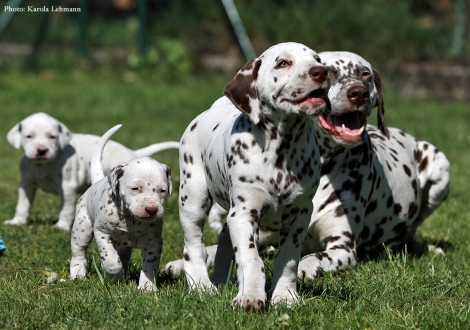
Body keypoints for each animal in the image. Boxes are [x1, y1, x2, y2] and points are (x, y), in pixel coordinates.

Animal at [4, 112, 179, 231]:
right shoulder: (26, 184)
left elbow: (66, 208)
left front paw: (61, 226)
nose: (41, 150)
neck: (43, 165)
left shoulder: (67, 187)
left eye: (52, 137)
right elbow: (23, 204)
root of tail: (133, 153)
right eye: (29, 136)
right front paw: (17, 221)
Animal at [70, 124, 173, 292]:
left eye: (163, 190)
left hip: (124, 246)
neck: (131, 219)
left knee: (123, 256)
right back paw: (78, 275)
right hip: (82, 227)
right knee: (78, 252)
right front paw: (114, 277)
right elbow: (111, 261)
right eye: (135, 188)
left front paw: (147, 287)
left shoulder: (154, 242)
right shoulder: (102, 233)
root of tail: (97, 182)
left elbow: (150, 266)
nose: (151, 209)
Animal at [167, 50, 450, 284]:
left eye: (365, 74)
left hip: (439, 169)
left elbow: (310, 258)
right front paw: (182, 263)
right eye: (330, 71)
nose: (357, 92)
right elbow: (215, 249)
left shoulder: (343, 248)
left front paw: (299, 270)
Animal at [178, 42, 328, 310]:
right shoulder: (245, 212)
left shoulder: (300, 214)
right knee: (193, 246)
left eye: (317, 59)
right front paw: (250, 297)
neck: (282, 150)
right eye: (283, 63)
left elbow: (288, 259)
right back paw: (202, 287)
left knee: (224, 240)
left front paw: (285, 296)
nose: (321, 72)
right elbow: (251, 258)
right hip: (193, 200)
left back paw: (220, 280)